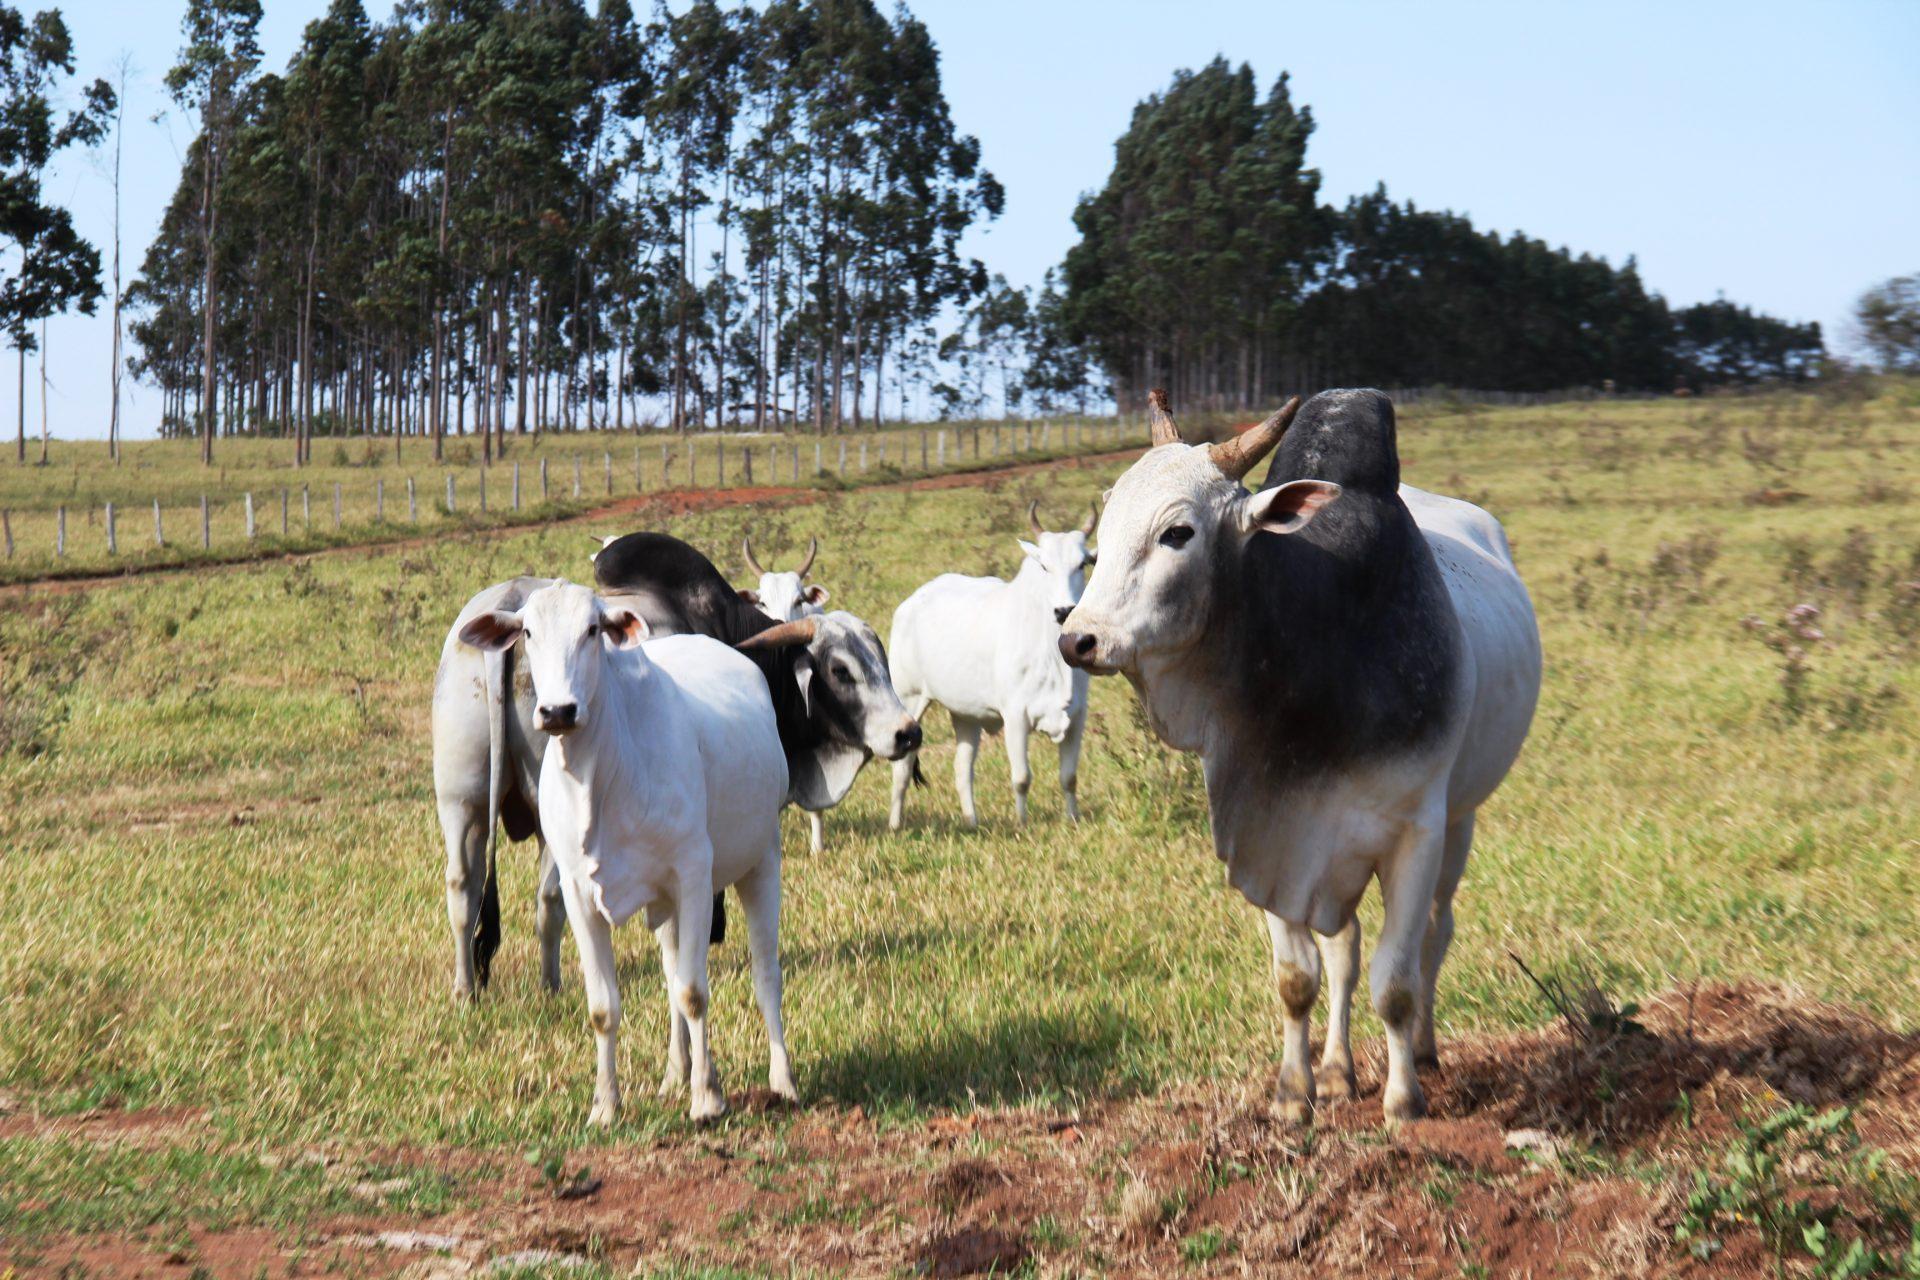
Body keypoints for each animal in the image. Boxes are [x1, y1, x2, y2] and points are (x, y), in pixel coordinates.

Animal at [433, 529, 921, 997]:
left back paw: (465, 988)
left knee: (463, 886)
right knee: (549, 898)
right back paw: (550, 985)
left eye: (882, 662)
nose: (908, 733)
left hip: (460, 799)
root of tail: (509, 607)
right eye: (840, 670)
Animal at [456, 575, 787, 1128]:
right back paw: (676, 1074)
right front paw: (605, 1105)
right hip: (668, 904)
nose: (558, 711)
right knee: (673, 974)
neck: (602, 777)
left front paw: (707, 1099)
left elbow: (695, 992)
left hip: (761, 862)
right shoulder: (579, 893)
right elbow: (605, 1006)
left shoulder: (694, 876)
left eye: (593, 629)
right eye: (527, 632)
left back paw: (782, 1081)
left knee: (765, 975)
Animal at [887, 498, 1098, 832]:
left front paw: (1074, 819)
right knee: (903, 766)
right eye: (1044, 566)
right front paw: (1021, 824)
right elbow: (1022, 778)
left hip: (965, 715)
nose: (1064, 610)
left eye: (1083, 564)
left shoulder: (1076, 716)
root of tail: (910, 603)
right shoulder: (1015, 716)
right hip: (910, 699)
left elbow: (1069, 777)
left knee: (962, 767)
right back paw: (895, 825)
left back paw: (971, 821)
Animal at [1059, 387, 1536, 1120]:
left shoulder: (1415, 834)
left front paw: (1403, 1100)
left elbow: (1396, 981)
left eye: (1178, 533)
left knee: (1435, 934)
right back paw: (1338, 1068)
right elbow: (1299, 977)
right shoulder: (1273, 828)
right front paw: (1294, 1092)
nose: (1077, 638)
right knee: (1345, 950)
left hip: (1459, 821)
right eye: (1102, 528)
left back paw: (1425, 1051)